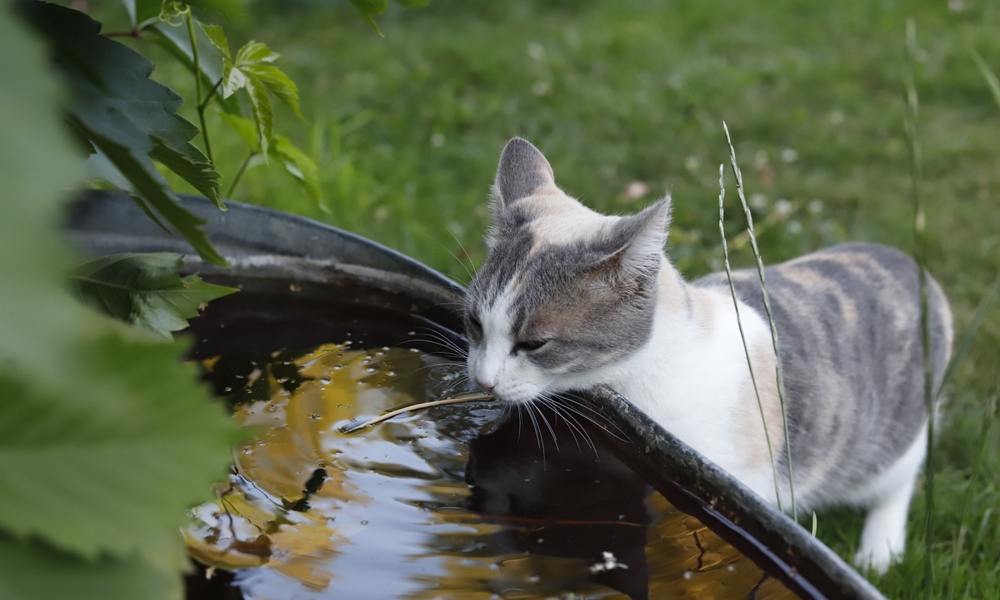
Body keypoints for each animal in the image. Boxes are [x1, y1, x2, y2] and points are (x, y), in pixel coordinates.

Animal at [462, 138, 952, 576]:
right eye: (473, 323)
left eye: (533, 344)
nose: (483, 381)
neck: (640, 379)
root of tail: (909, 265)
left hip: (895, 438)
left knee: (897, 481)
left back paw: (880, 548)